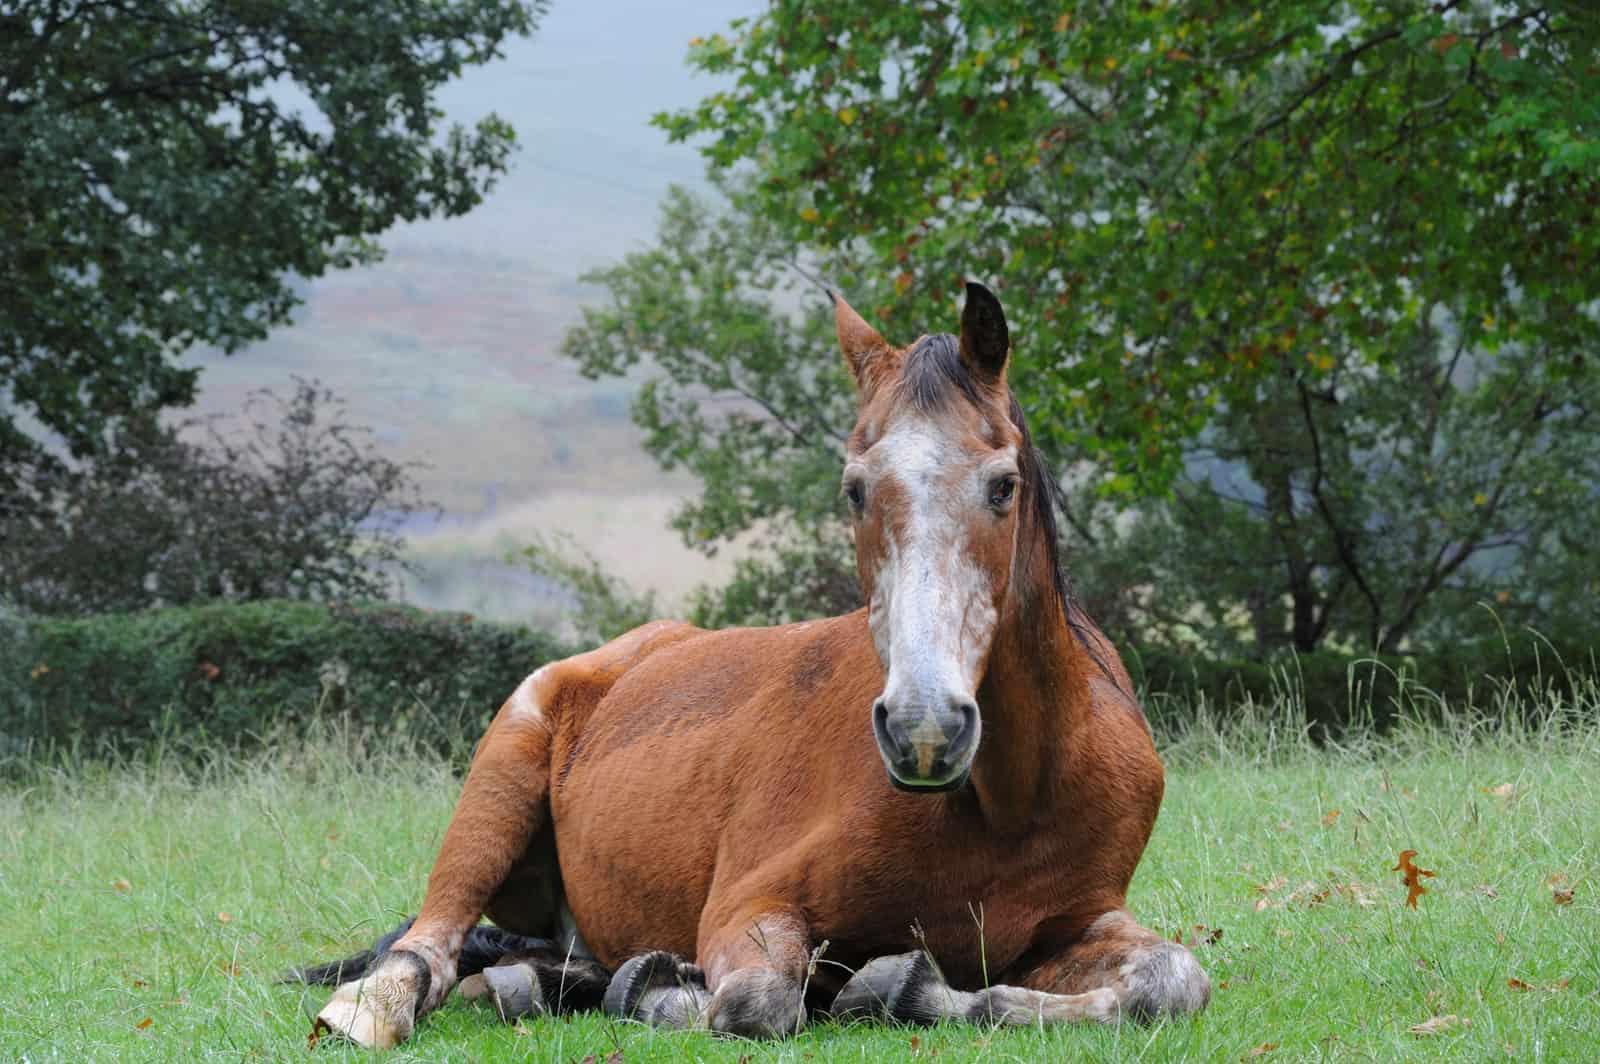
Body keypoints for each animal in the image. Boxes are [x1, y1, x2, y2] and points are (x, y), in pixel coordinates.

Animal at [301, 283, 1210, 1048]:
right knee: (431, 946)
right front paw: (680, 992)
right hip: (498, 782)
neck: (1009, 799)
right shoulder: (750, 904)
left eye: (1003, 485)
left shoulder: (1076, 924)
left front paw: (895, 986)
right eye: (854, 488)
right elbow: (757, 1001)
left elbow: (1173, 979)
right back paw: (384, 1006)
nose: (924, 729)